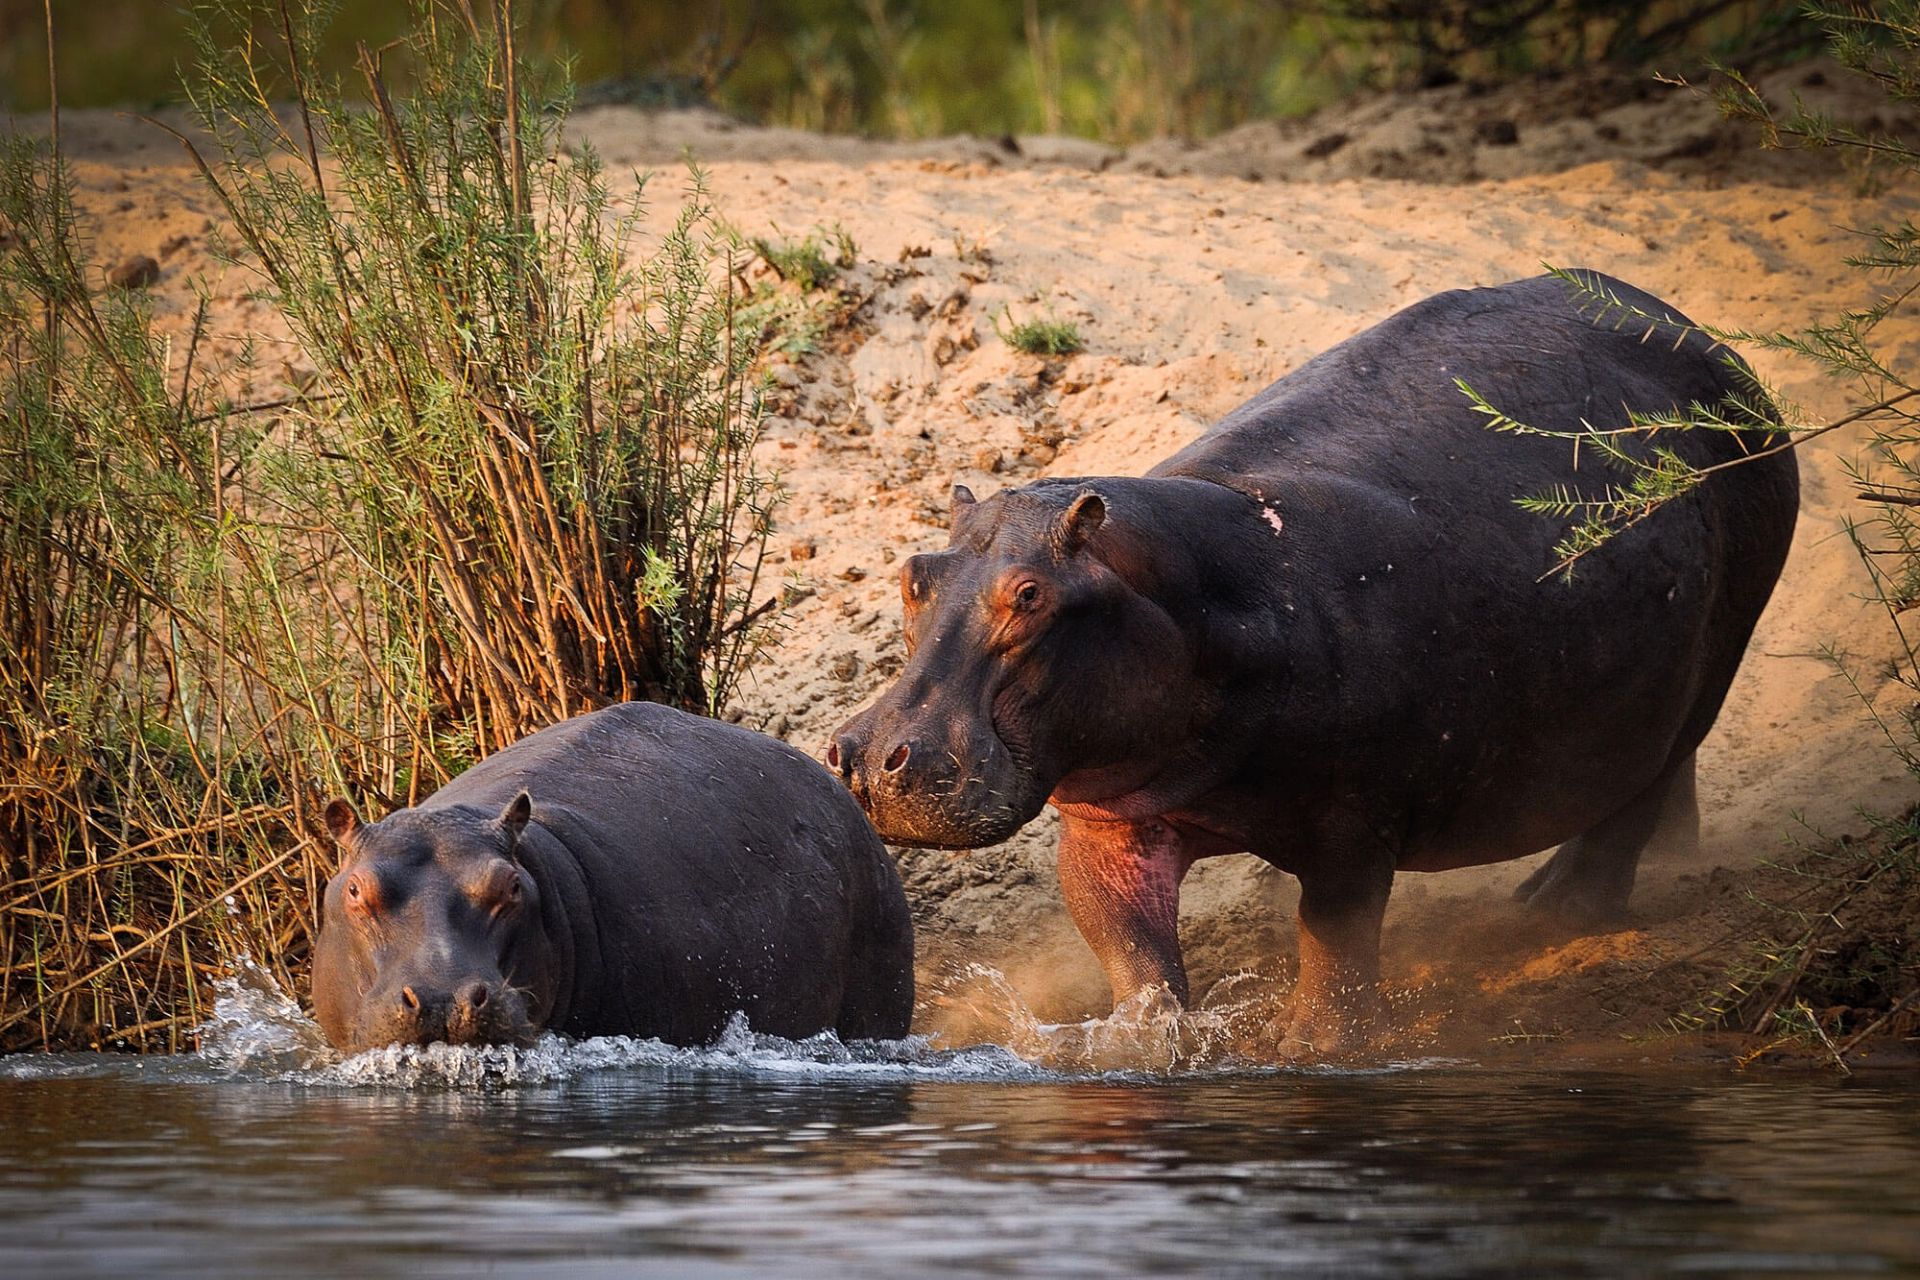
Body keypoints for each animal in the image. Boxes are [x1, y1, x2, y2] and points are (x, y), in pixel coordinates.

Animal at [830, 271, 1798, 1052]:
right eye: (915, 574)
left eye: (1029, 595)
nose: (868, 758)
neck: (1181, 592)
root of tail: (1705, 338)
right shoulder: (1105, 825)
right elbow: (1132, 953)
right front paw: (1141, 1048)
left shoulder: (1356, 821)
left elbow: (1335, 937)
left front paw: (1316, 1049)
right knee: (1657, 770)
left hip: (1724, 644)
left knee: (1638, 794)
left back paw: (1554, 911)